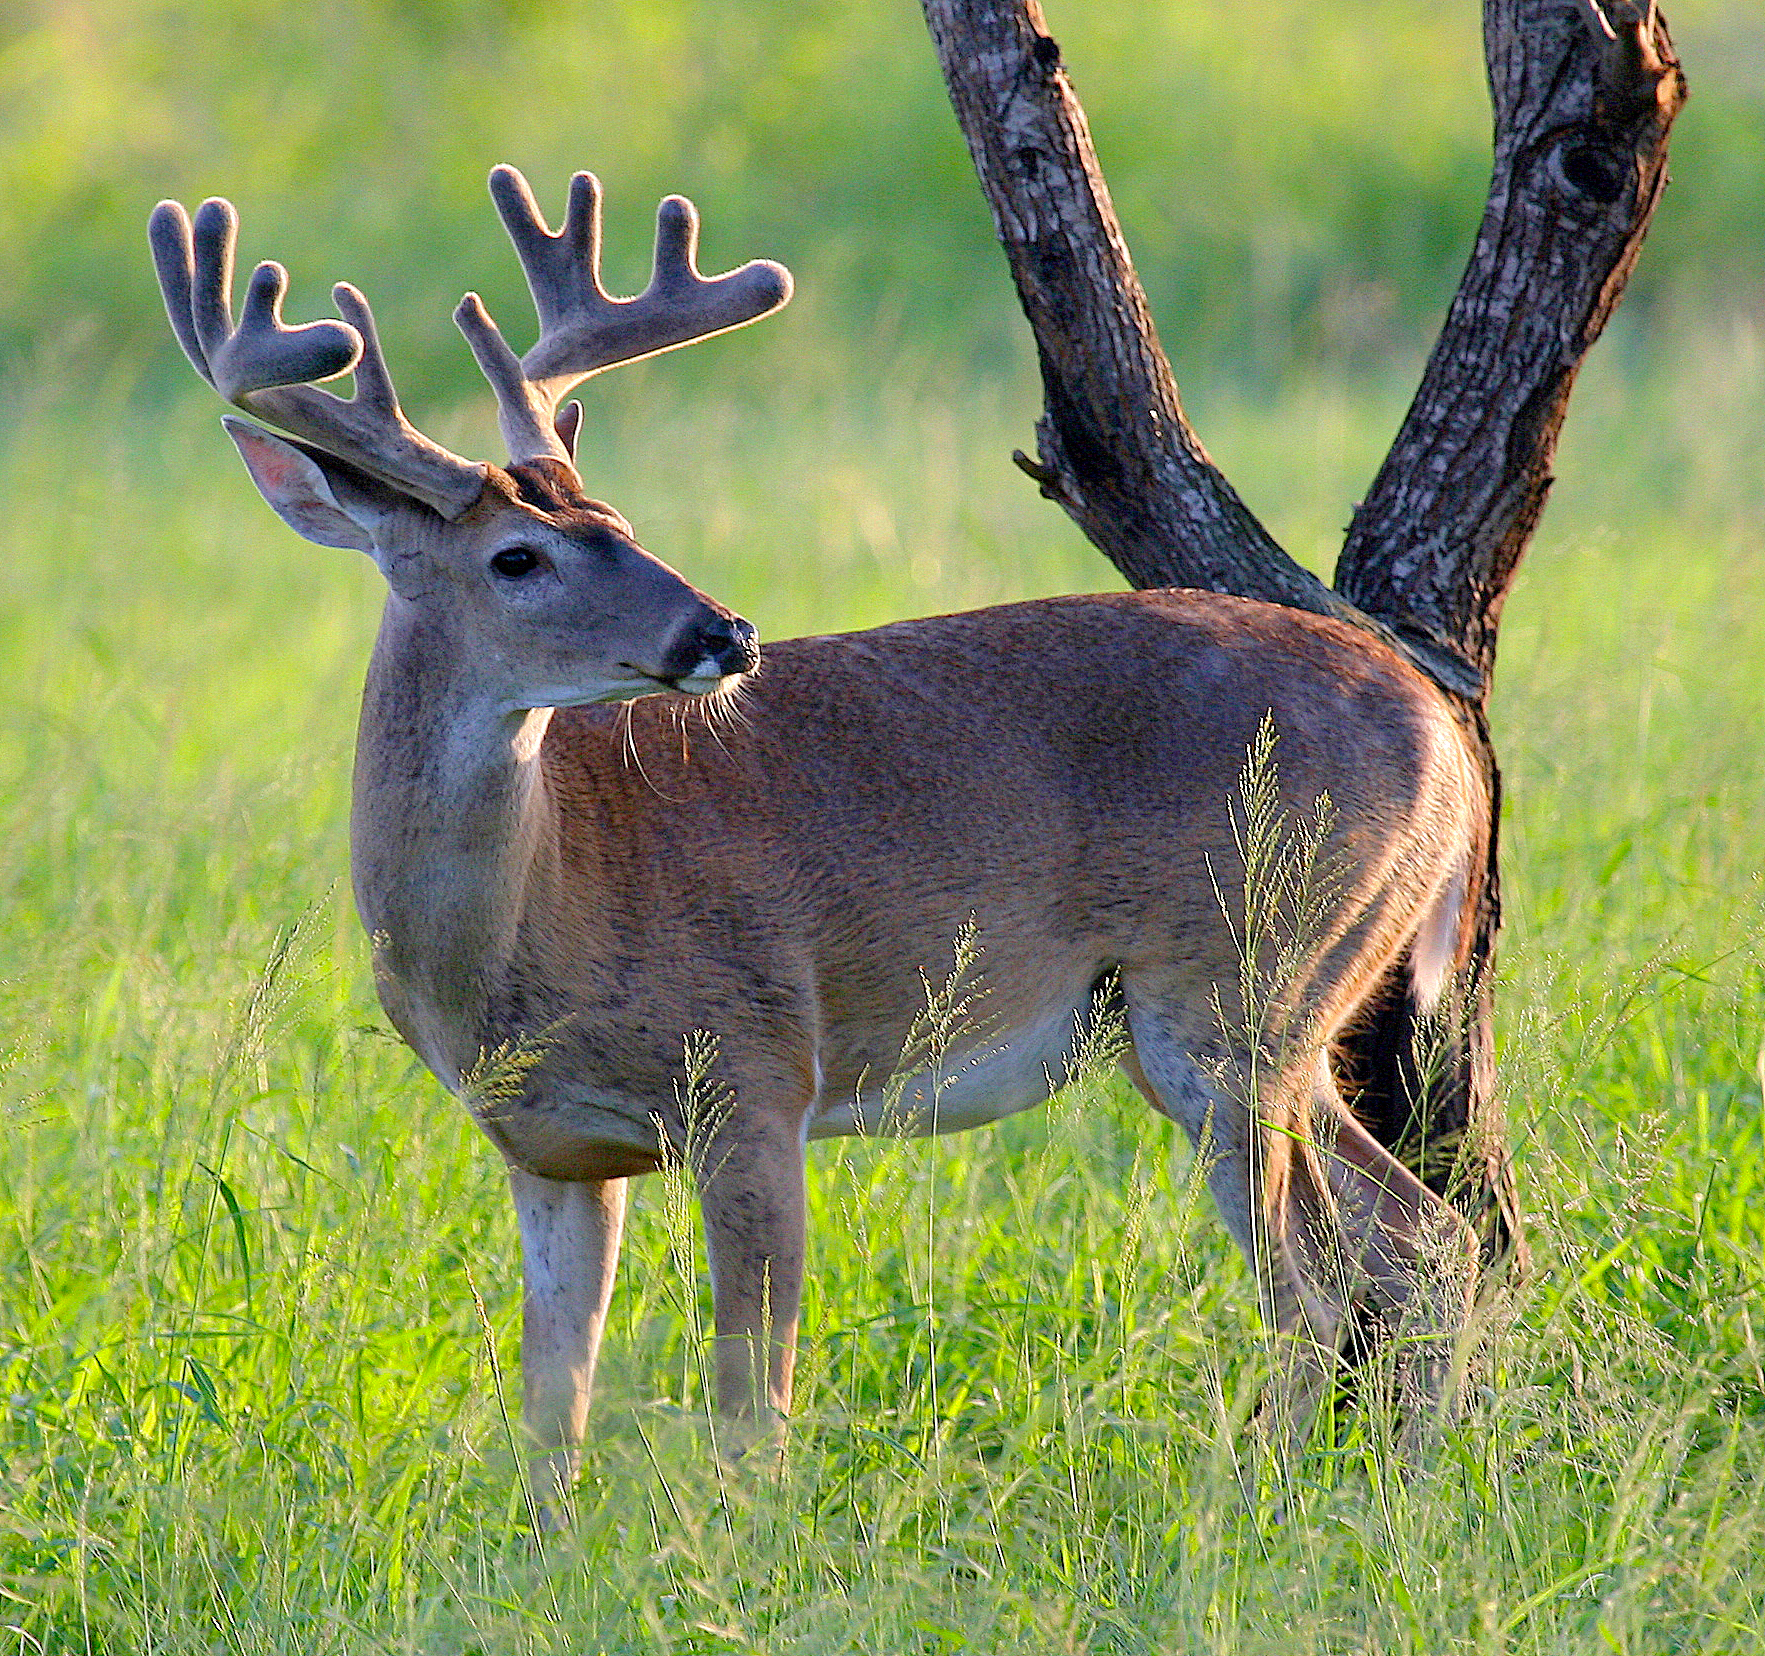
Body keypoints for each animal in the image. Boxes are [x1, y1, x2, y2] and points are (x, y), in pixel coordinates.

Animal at [148, 161, 1489, 1518]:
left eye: (619, 518)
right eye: (516, 556)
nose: (723, 632)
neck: (538, 916)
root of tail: (1442, 723)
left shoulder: (752, 1073)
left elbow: (753, 1399)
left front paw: (741, 1544)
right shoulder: (552, 1149)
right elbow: (551, 1401)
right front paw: (543, 1545)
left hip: (1238, 987)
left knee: (1316, 1287)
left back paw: (1254, 1506)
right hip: (1276, 1016)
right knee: (1426, 1243)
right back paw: (1402, 1493)